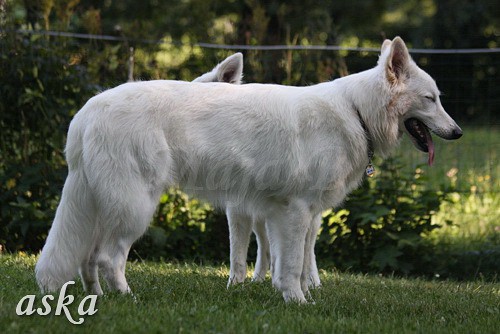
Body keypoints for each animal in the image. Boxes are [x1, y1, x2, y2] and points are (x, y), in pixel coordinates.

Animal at [37, 37, 462, 304]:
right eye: (431, 99)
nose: (457, 132)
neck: (356, 111)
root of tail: (88, 110)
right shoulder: (294, 212)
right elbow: (289, 265)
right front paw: (298, 303)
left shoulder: (287, 215)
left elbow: (287, 262)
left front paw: (293, 295)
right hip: (135, 207)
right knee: (109, 259)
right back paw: (128, 299)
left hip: (105, 206)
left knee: (88, 258)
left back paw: (99, 299)